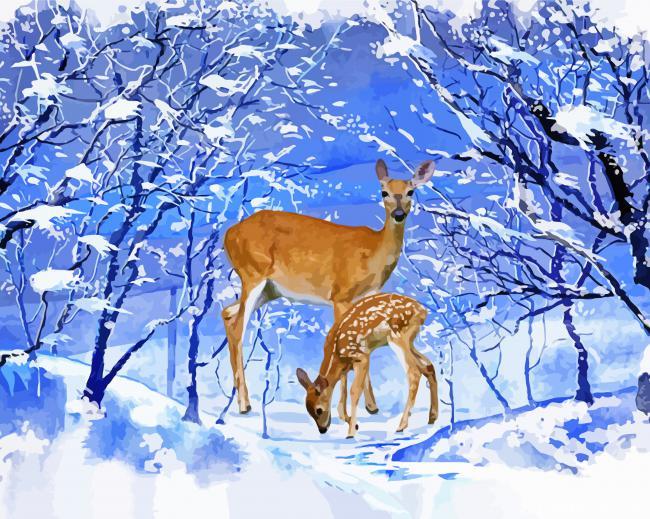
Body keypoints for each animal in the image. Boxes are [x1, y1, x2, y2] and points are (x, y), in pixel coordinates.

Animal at [221, 159, 436, 414]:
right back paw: (244, 404)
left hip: (269, 289)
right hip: (253, 274)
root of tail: (229, 233)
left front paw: (371, 406)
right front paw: (363, 407)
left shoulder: (367, 298)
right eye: (384, 192)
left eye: (410, 191)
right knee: (237, 327)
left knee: (227, 312)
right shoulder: (341, 294)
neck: (373, 252)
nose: (399, 214)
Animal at [295, 293, 438, 438]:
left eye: (318, 410)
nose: (322, 430)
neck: (336, 354)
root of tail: (422, 310)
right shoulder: (345, 368)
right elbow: (342, 400)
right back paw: (432, 417)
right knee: (428, 366)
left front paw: (351, 433)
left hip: (398, 336)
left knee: (414, 371)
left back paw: (401, 425)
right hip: (409, 341)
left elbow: (354, 391)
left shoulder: (361, 357)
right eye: (308, 411)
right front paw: (353, 423)